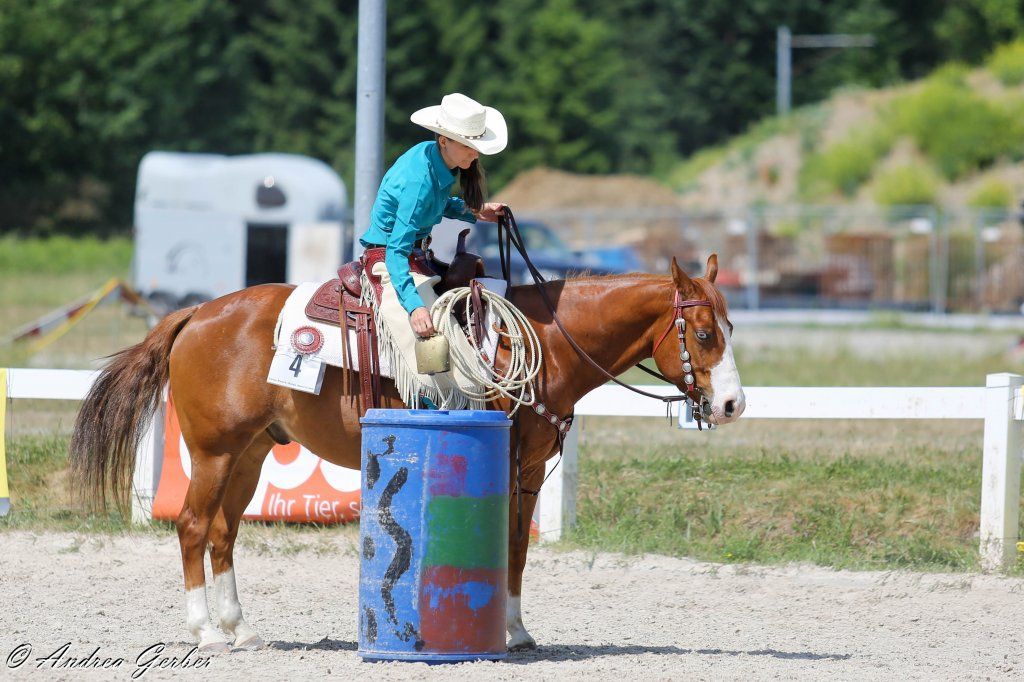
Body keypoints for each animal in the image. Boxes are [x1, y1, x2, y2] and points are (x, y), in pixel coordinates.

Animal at [68, 254, 745, 653]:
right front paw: (509, 632)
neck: (544, 340)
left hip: (253, 451)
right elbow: (510, 547)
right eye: (703, 333)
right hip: (213, 451)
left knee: (222, 531)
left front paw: (516, 630)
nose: (733, 404)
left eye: (730, 329)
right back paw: (206, 631)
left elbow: (518, 549)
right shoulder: (515, 462)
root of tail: (194, 314)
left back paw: (241, 628)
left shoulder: (526, 469)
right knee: (190, 525)